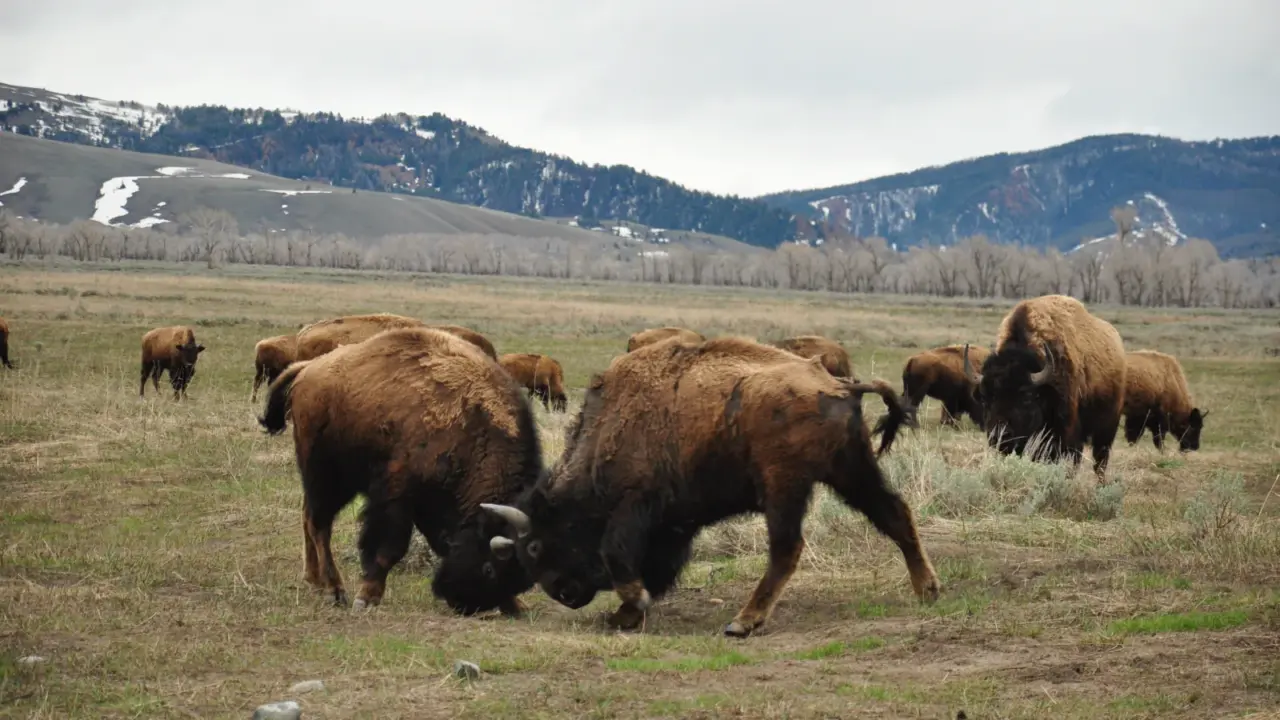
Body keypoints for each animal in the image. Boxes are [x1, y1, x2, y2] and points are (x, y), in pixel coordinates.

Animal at [258, 327, 542, 615]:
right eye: (489, 568)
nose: (462, 603)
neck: (473, 429)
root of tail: (307, 369)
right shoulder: (397, 495)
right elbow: (389, 548)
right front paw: (367, 597)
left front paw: (515, 606)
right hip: (326, 475)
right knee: (319, 525)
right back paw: (335, 591)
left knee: (309, 517)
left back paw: (315, 581)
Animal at [482, 336, 939, 638]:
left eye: (535, 546)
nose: (564, 594)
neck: (610, 428)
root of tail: (840, 385)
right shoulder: (674, 524)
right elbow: (659, 566)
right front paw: (627, 615)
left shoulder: (635, 508)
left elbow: (619, 557)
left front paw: (632, 606)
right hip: (850, 471)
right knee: (895, 514)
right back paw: (928, 589)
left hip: (786, 486)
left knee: (787, 548)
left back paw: (743, 621)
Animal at [964, 294, 1126, 478]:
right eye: (985, 398)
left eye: (1026, 396)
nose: (1000, 435)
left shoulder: (1061, 434)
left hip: (1107, 428)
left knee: (1100, 460)